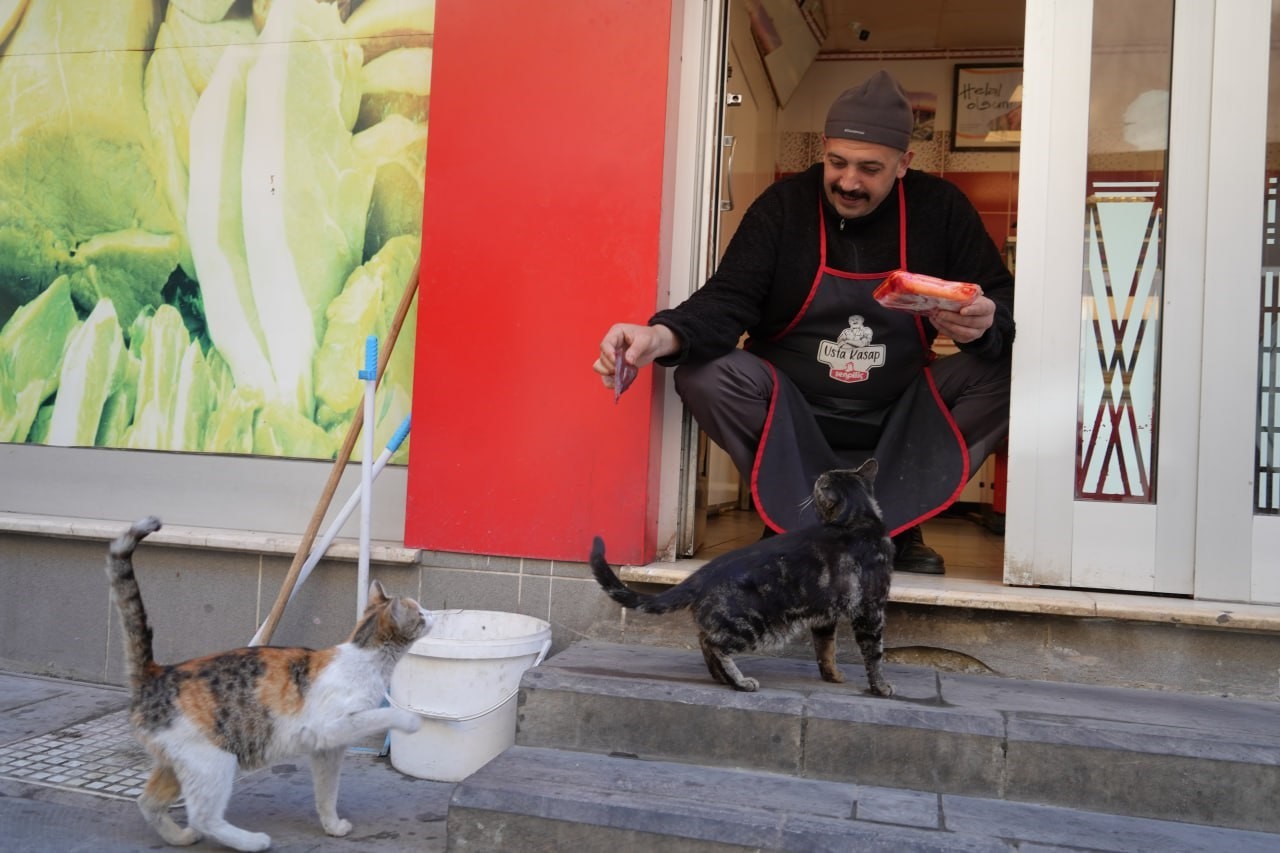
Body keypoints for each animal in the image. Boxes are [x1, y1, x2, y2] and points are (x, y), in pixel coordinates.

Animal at [101, 514, 430, 845]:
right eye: (420, 614)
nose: (432, 613)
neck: (367, 659)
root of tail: (155, 673)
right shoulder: (332, 725)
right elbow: (384, 714)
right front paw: (410, 722)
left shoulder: (327, 749)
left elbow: (327, 794)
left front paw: (332, 826)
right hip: (214, 760)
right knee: (203, 817)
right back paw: (251, 841)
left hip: (178, 762)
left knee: (148, 802)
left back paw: (180, 837)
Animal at [588, 461, 890, 696]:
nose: (816, 477)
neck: (857, 519)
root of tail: (703, 572)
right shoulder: (871, 610)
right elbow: (874, 654)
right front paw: (880, 688)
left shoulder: (825, 616)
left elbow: (826, 650)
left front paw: (833, 676)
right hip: (756, 625)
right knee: (714, 643)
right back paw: (740, 681)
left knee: (705, 639)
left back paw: (721, 678)